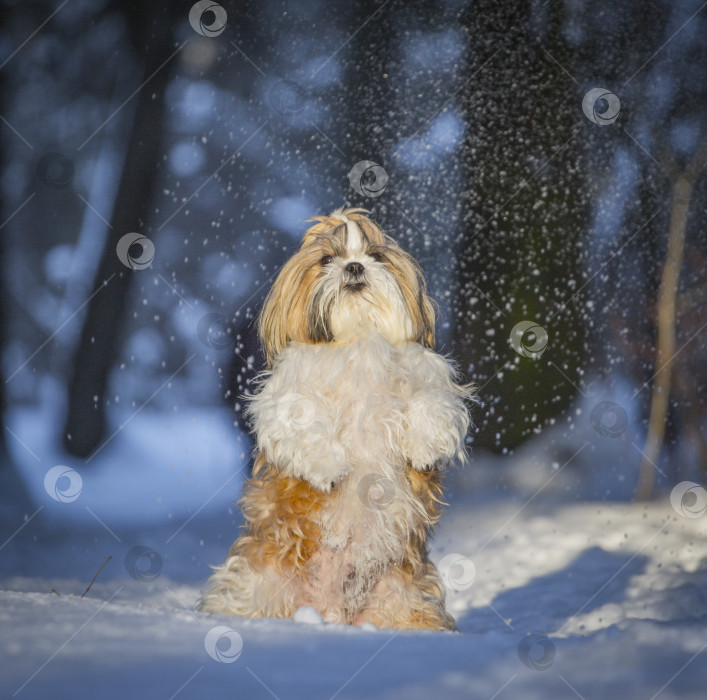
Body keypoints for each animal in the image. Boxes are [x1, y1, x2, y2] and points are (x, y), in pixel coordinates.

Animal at [199, 206, 472, 628]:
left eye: (375, 255)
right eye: (327, 260)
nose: (355, 266)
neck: (357, 337)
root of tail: (330, 613)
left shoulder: (427, 376)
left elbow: (431, 400)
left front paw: (423, 445)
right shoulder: (287, 394)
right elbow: (299, 416)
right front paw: (327, 466)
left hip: (404, 600)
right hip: (257, 583)